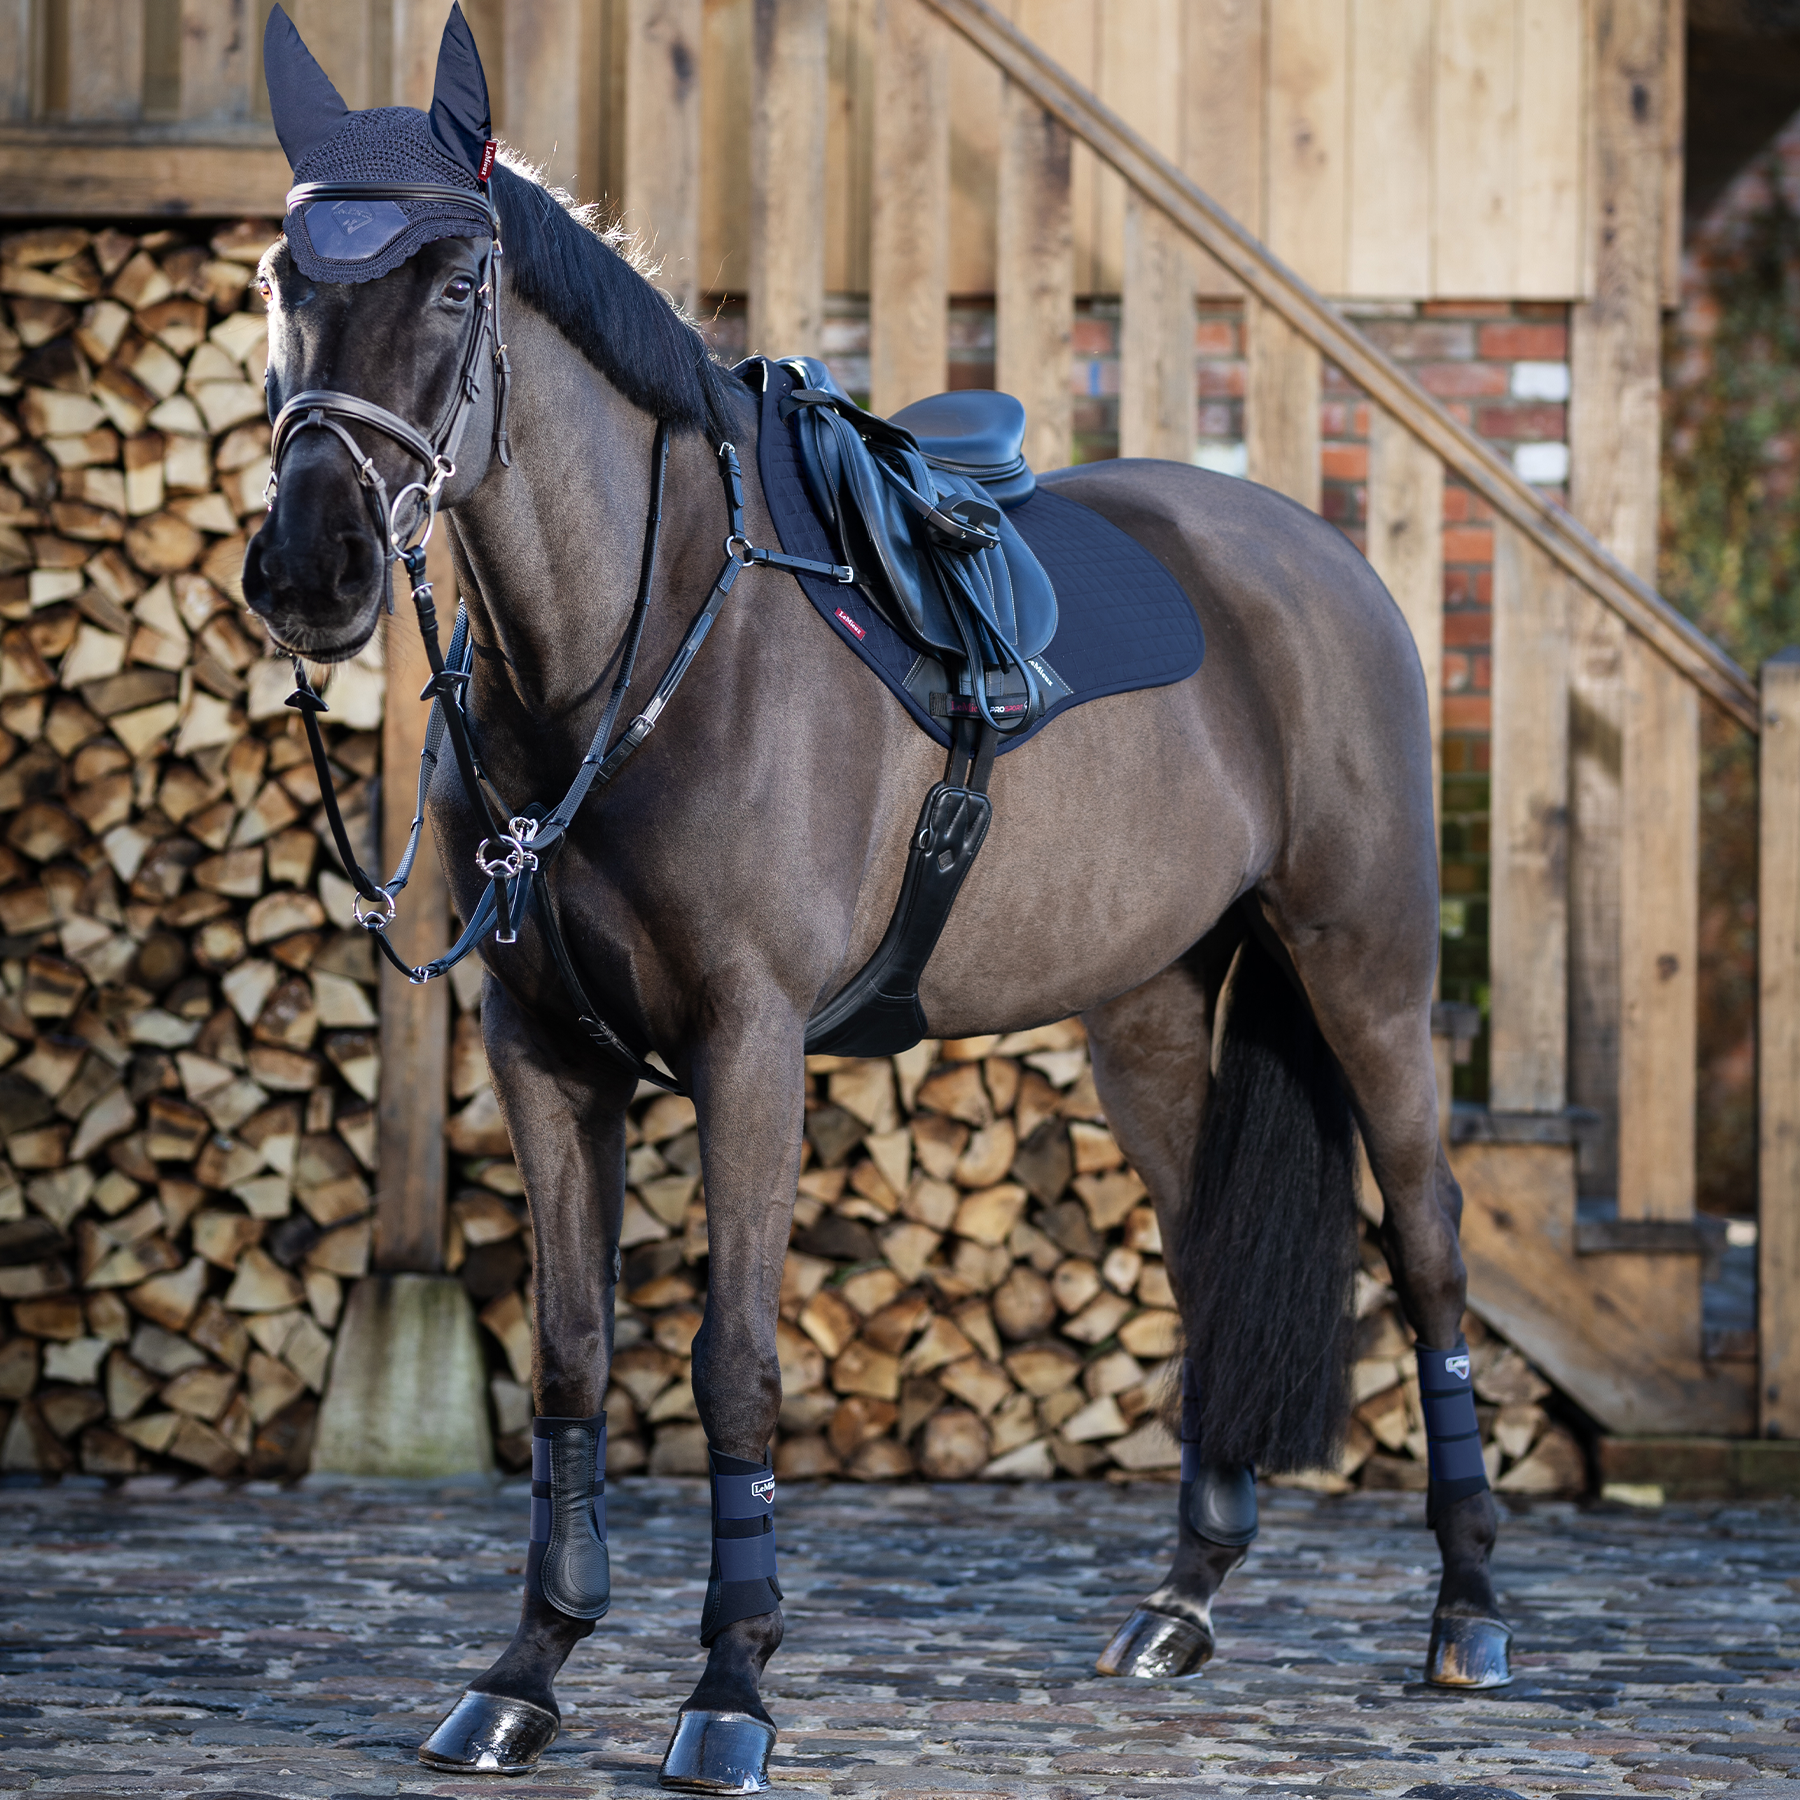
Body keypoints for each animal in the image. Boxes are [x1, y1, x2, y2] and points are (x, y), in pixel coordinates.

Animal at [239, 14, 1504, 1785]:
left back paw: (1469, 1616)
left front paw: (730, 1689)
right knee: (1201, 1255)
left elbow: (735, 1363)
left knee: (1434, 1247)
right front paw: (526, 1672)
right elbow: (569, 1353)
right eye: (285, 271)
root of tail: (1322, 564)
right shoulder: (541, 1047)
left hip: (1365, 973)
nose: (311, 572)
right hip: (1150, 1017)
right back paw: (1179, 1602)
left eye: (454, 281)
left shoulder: (749, 1046)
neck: (631, 657)